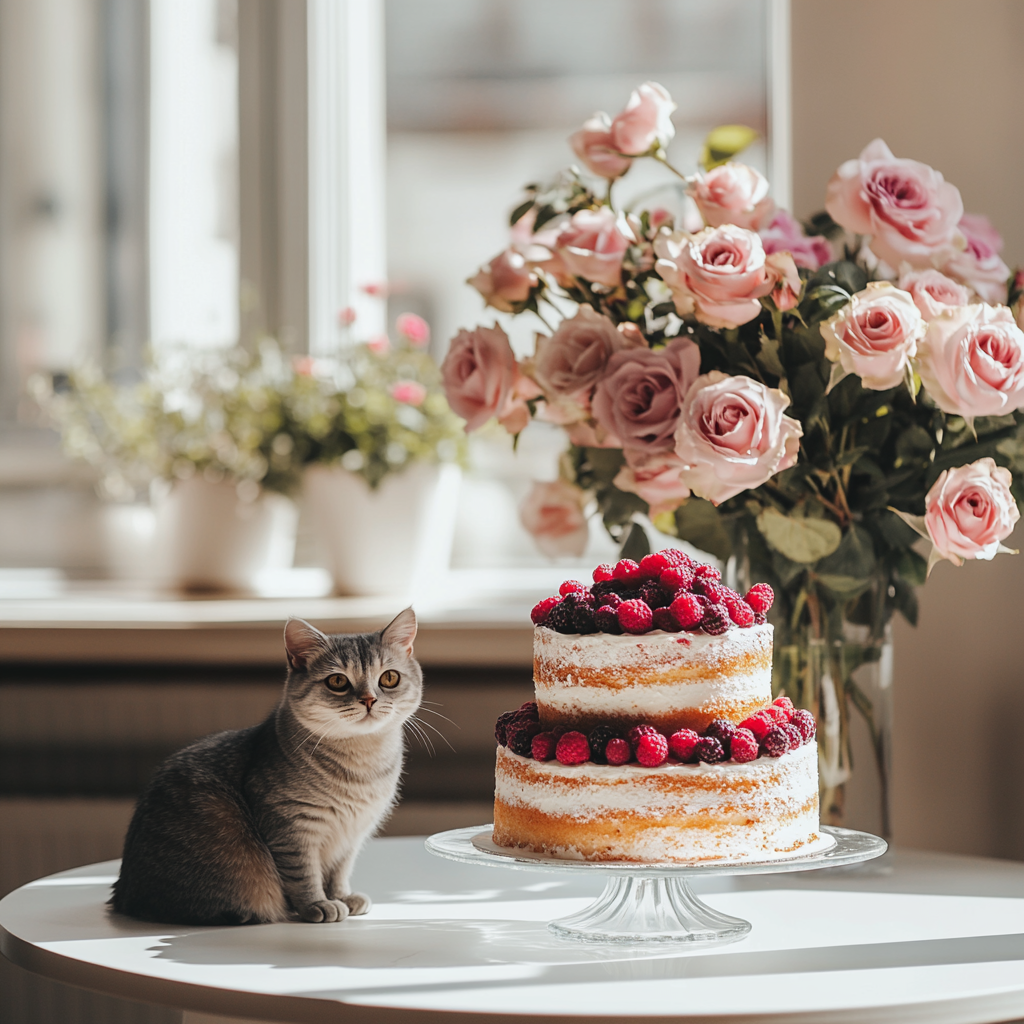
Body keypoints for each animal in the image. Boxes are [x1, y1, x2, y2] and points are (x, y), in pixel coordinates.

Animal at [108, 606, 419, 929]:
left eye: (390, 678)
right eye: (337, 682)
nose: (370, 699)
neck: (361, 763)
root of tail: (123, 895)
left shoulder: (352, 835)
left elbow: (339, 872)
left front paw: (342, 897)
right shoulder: (291, 829)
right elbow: (304, 876)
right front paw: (317, 904)